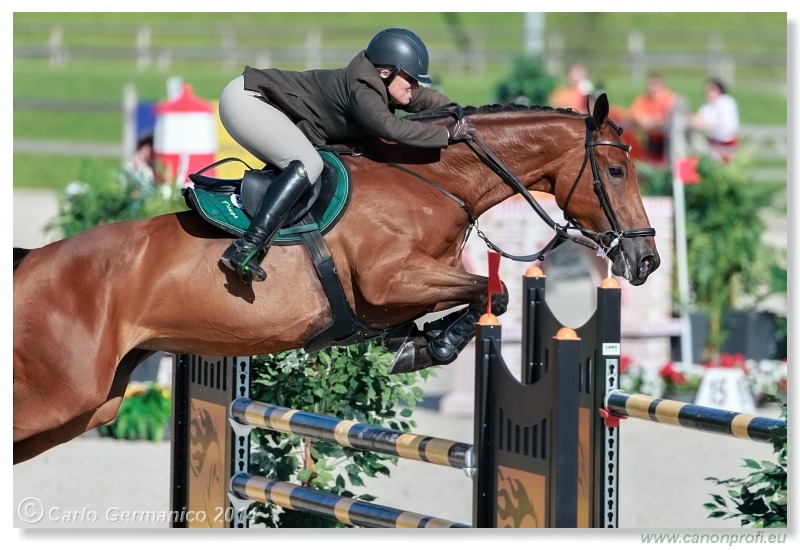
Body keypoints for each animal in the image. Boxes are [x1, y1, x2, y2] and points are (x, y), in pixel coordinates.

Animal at [12, 95, 660, 466]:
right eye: (615, 170)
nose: (646, 261)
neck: (436, 181)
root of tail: (31, 263)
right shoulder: (389, 282)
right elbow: (489, 290)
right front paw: (428, 346)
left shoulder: (406, 289)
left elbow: (483, 294)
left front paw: (415, 343)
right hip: (61, 394)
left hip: (91, 406)